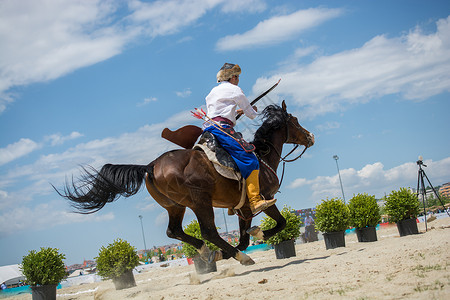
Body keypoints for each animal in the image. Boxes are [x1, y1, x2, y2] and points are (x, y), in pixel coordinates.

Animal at [59, 101, 312, 264]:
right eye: (295, 121)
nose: (310, 137)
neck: (262, 157)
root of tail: (151, 166)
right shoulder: (264, 199)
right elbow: (277, 224)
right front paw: (259, 235)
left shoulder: (243, 210)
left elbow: (243, 237)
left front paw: (234, 248)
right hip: (201, 202)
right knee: (209, 232)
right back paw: (235, 256)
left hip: (175, 206)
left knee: (174, 231)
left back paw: (207, 252)